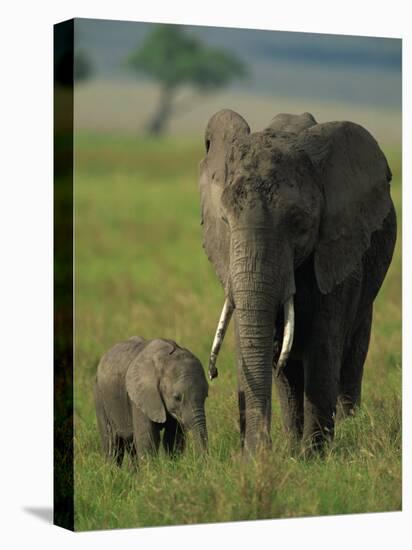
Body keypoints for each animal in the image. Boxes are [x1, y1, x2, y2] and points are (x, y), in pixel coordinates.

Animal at [94, 336, 208, 466]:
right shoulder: (140, 397)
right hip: (99, 397)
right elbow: (148, 440)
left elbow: (173, 439)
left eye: (205, 396)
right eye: (177, 398)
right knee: (112, 443)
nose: (203, 464)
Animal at [200, 109, 396, 458]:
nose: (254, 452)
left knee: (353, 353)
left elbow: (323, 345)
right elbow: (264, 345)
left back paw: (349, 428)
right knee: (288, 369)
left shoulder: (337, 251)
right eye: (225, 220)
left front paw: (315, 457)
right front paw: (275, 458)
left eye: (299, 223)